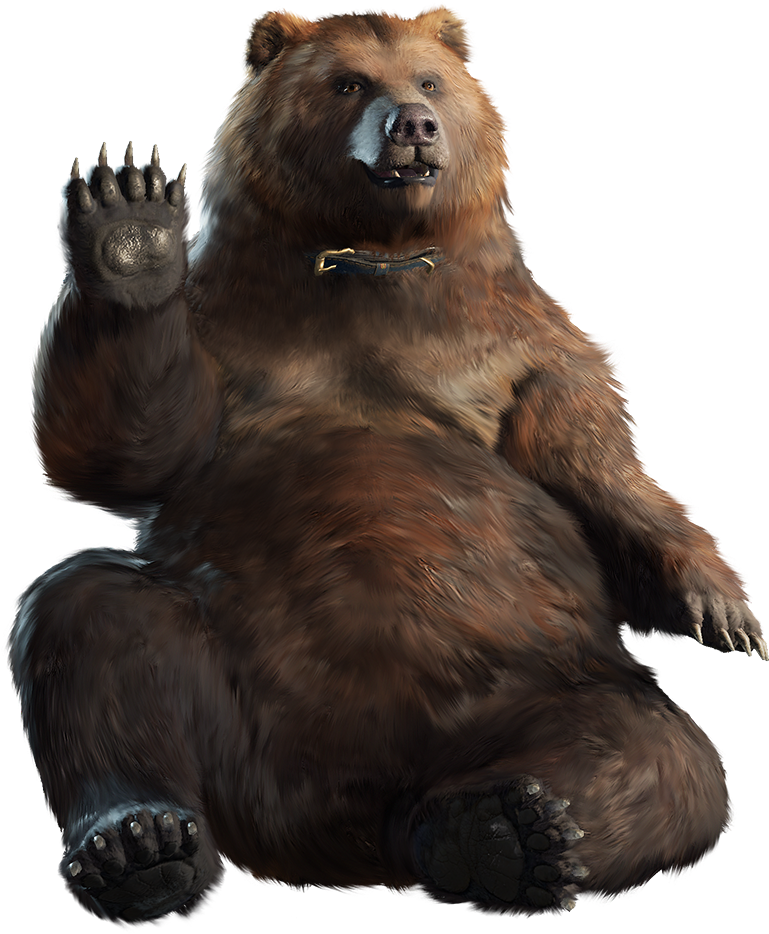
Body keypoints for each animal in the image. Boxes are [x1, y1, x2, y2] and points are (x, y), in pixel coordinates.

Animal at [6, 3, 765, 925]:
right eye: (347, 82)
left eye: (429, 78)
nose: (413, 123)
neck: (372, 259)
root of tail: (336, 838)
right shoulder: (220, 325)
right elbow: (126, 452)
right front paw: (131, 227)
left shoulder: (526, 344)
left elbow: (595, 467)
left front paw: (722, 609)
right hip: (233, 685)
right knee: (95, 619)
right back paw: (140, 848)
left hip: (533, 682)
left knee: (655, 752)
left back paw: (503, 837)